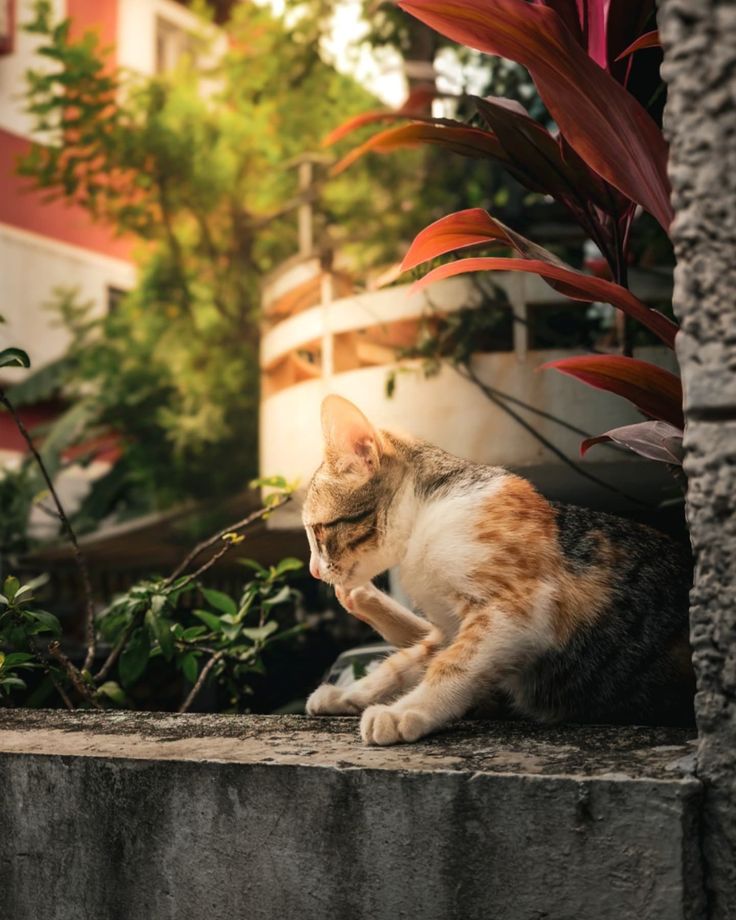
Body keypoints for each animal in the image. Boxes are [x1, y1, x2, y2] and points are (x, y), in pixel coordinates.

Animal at [302, 392, 692, 744]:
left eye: (319, 531)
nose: (314, 573)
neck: (424, 517)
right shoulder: (448, 628)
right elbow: (402, 664)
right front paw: (351, 693)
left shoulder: (518, 608)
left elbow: (454, 663)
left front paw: (405, 712)